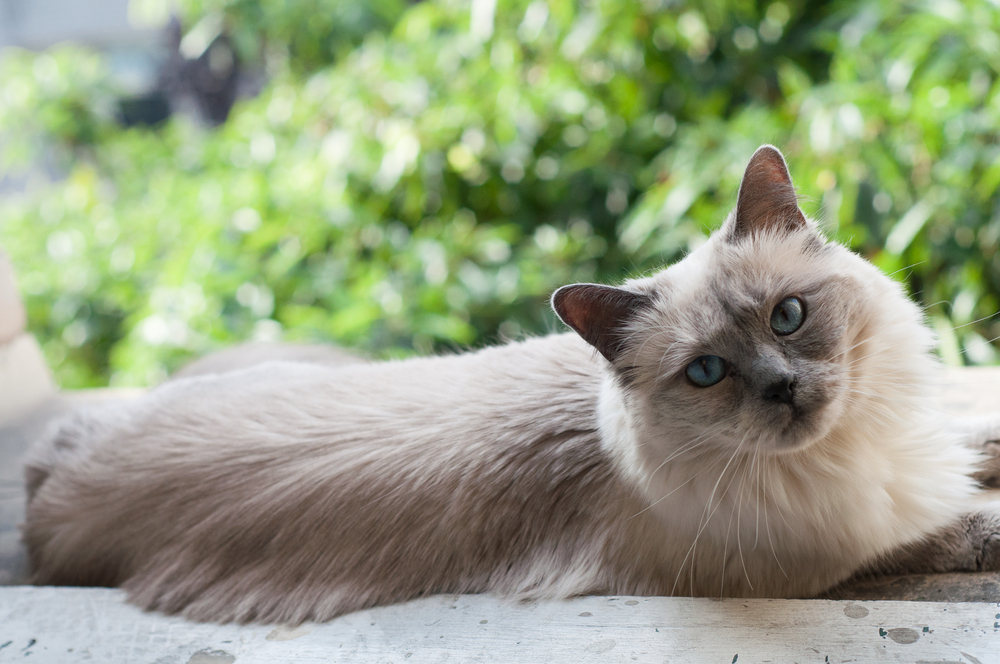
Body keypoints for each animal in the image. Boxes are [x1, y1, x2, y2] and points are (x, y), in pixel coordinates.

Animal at [17, 144, 1000, 624]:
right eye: (707, 373)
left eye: (787, 317)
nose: (783, 392)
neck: (849, 452)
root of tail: (53, 467)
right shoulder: (823, 553)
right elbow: (945, 529)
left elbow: (970, 441)